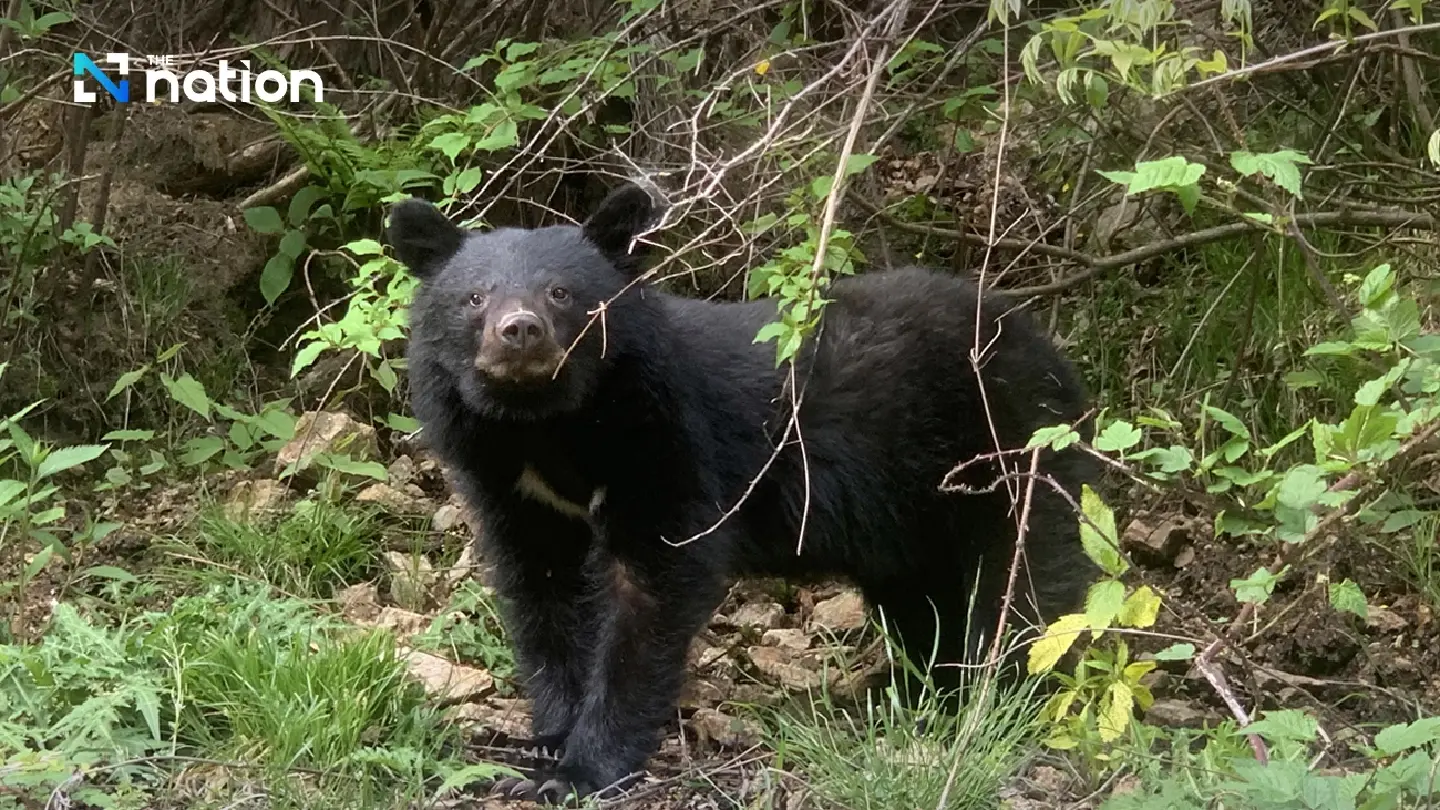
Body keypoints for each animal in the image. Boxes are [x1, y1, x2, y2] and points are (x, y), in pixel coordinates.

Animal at [386, 182, 1099, 804]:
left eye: (562, 294)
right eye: (473, 298)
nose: (520, 332)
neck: (549, 426)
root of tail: (1055, 357)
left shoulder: (667, 440)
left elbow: (654, 586)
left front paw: (581, 771)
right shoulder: (509, 485)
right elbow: (544, 594)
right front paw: (545, 744)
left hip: (1008, 451)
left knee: (1025, 583)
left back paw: (1004, 703)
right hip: (911, 516)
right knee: (925, 601)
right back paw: (922, 693)